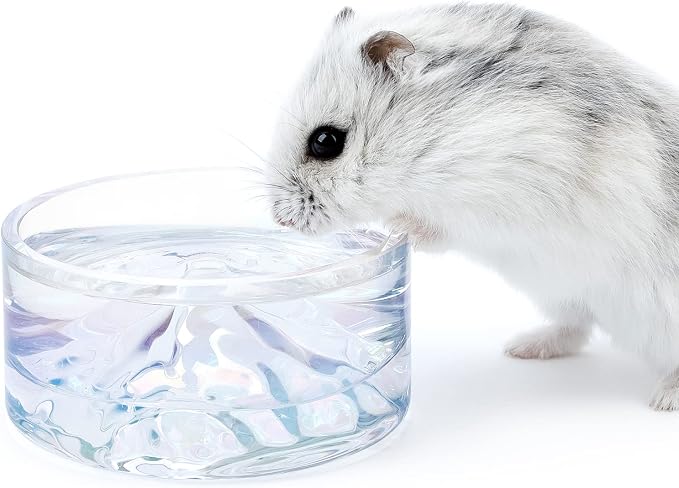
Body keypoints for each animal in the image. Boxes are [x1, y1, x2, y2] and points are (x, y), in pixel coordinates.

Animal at [265, 4, 679, 411]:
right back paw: (521, 348)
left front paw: (397, 227)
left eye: (326, 142)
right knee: (576, 327)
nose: (280, 220)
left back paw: (663, 400)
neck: (441, 133)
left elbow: (439, 229)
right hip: (562, 294)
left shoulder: (500, 204)